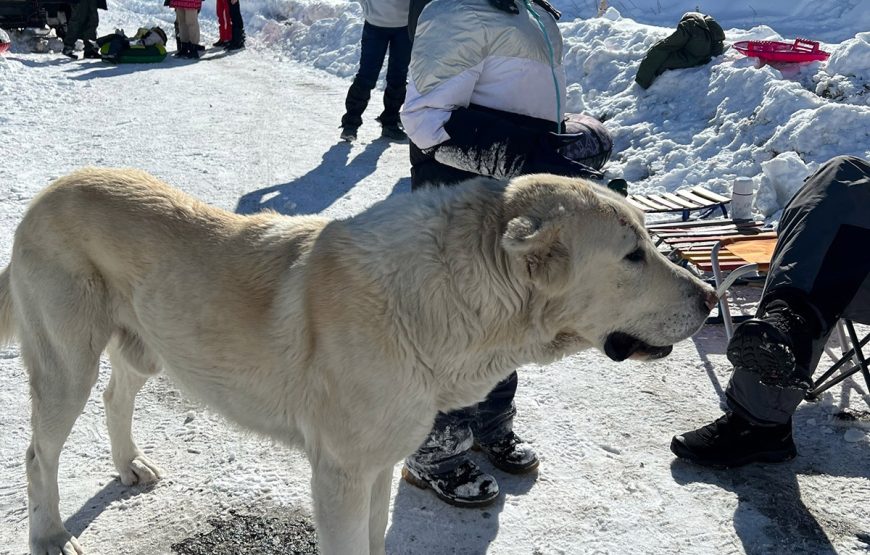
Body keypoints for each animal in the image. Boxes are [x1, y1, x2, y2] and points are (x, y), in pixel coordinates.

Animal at [0, 167, 716, 552]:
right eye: (633, 255)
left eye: (650, 242)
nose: (711, 297)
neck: (443, 302)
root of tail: (47, 193)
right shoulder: (340, 475)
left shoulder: (379, 466)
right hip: (66, 365)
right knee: (38, 454)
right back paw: (49, 535)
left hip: (146, 348)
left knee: (116, 397)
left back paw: (129, 466)